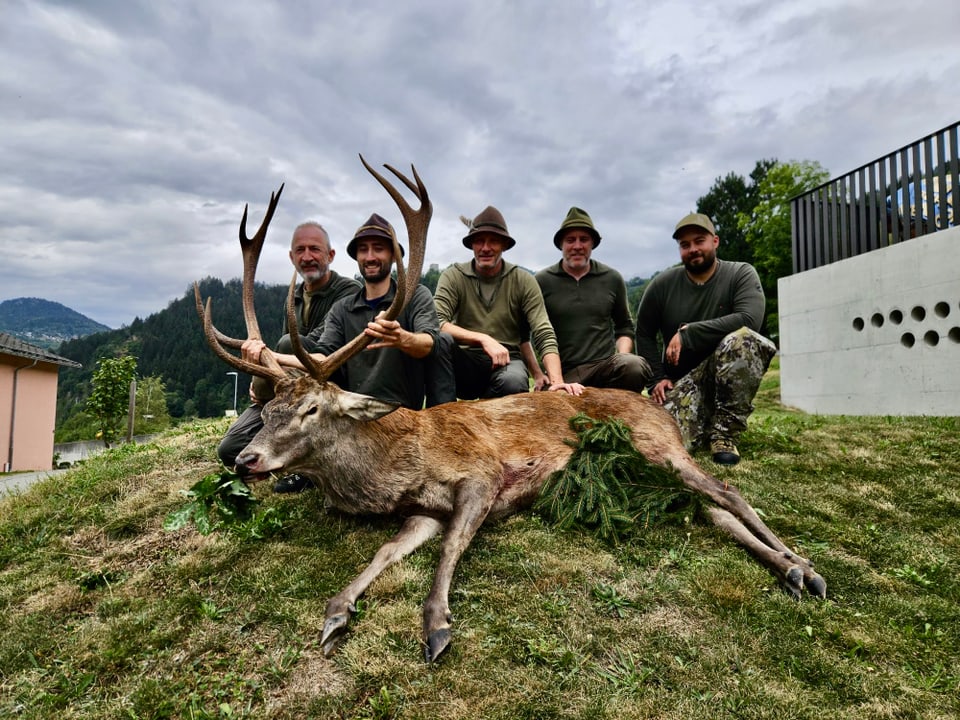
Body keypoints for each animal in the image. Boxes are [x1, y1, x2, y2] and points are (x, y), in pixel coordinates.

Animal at [197, 158, 824, 664]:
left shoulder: (482, 474)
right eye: (268, 410)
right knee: (710, 510)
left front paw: (437, 626)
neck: (395, 464)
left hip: (658, 448)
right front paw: (335, 613)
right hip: (646, 474)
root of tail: (665, 412)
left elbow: (451, 548)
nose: (246, 461)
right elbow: (385, 551)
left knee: (729, 492)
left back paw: (807, 567)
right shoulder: (423, 510)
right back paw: (791, 570)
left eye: (308, 409)